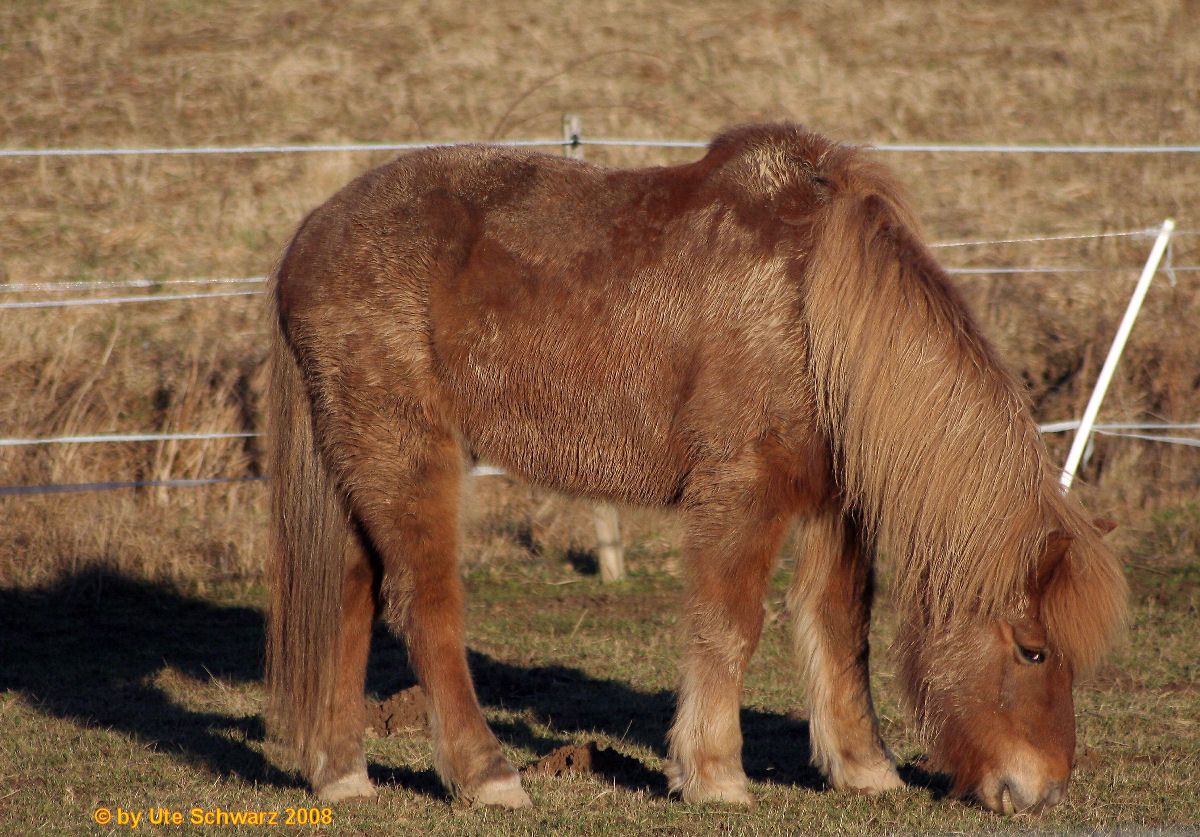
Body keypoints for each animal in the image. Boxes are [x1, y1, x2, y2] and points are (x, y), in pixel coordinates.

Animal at [267, 122, 1128, 810]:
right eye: (1033, 648)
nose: (1041, 790)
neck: (810, 309)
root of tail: (308, 238)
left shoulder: (832, 503)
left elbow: (839, 625)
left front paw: (864, 767)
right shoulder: (741, 495)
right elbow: (730, 625)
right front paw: (714, 774)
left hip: (357, 468)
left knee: (349, 597)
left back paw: (342, 773)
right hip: (406, 455)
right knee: (426, 607)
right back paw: (487, 776)